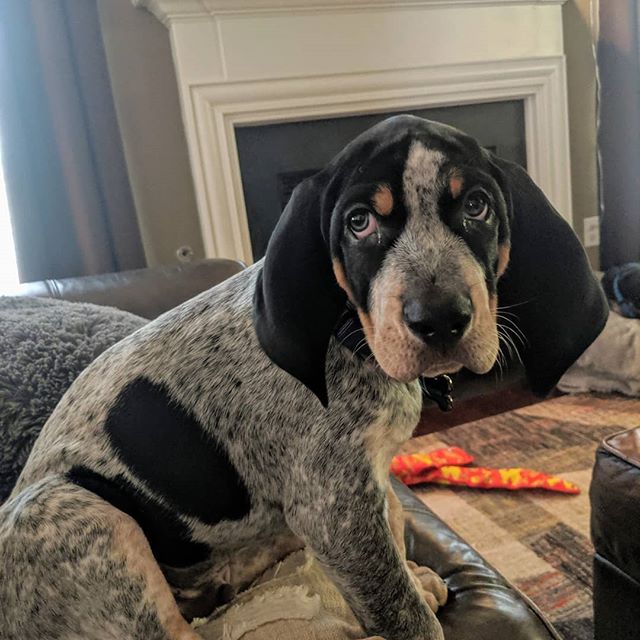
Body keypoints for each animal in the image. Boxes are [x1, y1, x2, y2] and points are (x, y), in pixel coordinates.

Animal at [0, 116, 608, 640]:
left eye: (477, 206)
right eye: (359, 222)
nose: (438, 320)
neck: (352, 338)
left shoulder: (368, 480)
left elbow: (394, 525)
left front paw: (415, 577)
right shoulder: (334, 508)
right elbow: (403, 611)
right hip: (84, 513)